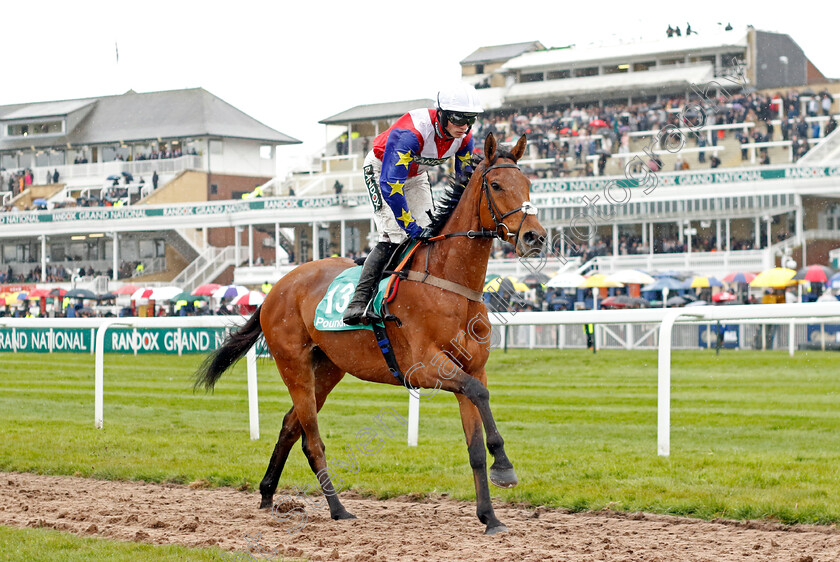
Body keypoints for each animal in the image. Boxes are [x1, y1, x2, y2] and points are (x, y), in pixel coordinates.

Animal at [199, 132, 548, 532]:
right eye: (496, 184)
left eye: (528, 184)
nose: (535, 237)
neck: (449, 284)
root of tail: (275, 289)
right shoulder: (425, 369)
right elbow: (479, 394)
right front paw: (504, 468)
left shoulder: (472, 367)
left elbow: (474, 442)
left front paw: (490, 516)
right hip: (293, 365)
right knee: (311, 440)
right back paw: (337, 509)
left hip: (328, 368)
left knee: (290, 425)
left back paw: (268, 493)